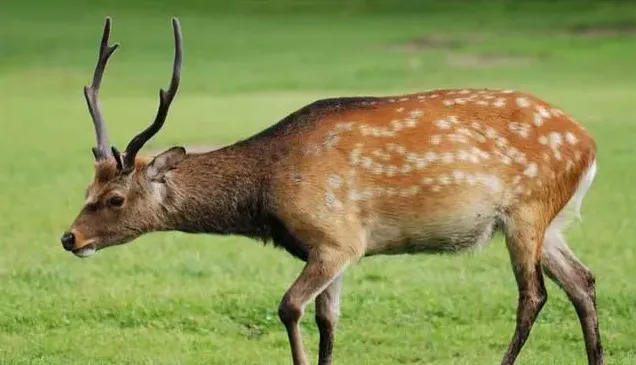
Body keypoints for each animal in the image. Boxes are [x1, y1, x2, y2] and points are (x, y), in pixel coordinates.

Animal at [62, 16, 604, 364]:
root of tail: (589, 144)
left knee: (533, 295)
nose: (69, 237)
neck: (267, 193)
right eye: (87, 185)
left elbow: (289, 307)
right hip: (550, 221)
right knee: (583, 282)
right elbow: (328, 321)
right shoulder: (335, 249)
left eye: (115, 199)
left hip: (527, 209)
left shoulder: (336, 236)